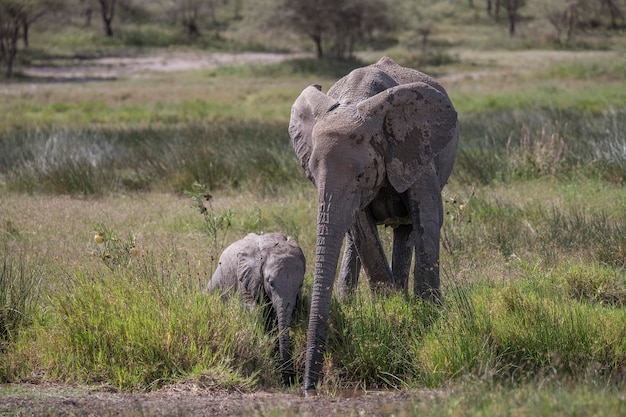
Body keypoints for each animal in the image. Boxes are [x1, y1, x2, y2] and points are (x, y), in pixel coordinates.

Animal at [207, 231, 304, 384]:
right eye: (270, 283)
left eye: (300, 285)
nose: (289, 380)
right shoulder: (246, 276)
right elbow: (251, 309)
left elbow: (274, 317)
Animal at [288, 57, 458, 392]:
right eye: (311, 173)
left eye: (361, 175)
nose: (308, 387)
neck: (356, 100)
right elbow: (361, 228)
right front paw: (392, 306)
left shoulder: (412, 147)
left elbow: (429, 215)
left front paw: (424, 314)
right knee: (357, 240)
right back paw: (354, 300)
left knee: (408, 230)